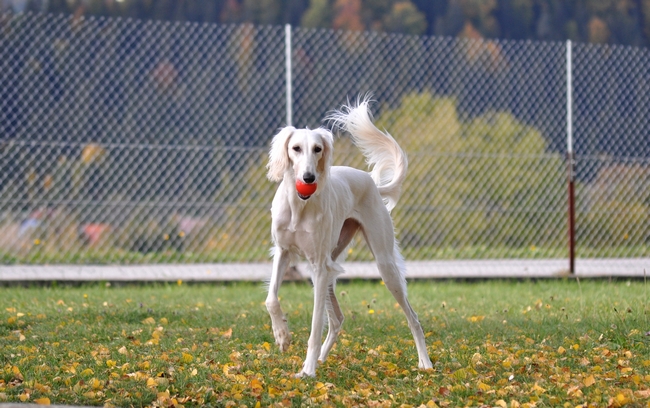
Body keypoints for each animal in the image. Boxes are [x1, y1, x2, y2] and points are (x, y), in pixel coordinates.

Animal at [264, 97, 430, 378]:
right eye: (295, 148)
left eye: (317, 149)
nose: (308, 177)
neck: (300, 206)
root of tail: (372, 183)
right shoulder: (284, 253)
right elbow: (271, 299)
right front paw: (282, 336)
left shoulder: (319, 266)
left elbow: (315, 325)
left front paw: (307, 370)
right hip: (329, 265)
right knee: (337, 318)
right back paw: (321, 358)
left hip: (383, 265)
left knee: (413, 317)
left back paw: (425, 362)